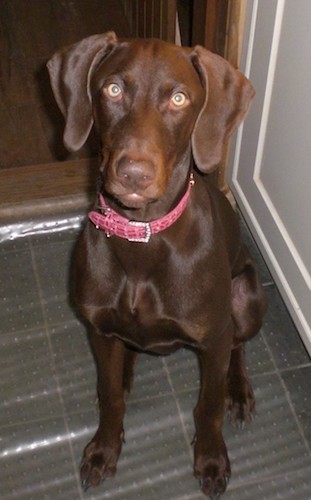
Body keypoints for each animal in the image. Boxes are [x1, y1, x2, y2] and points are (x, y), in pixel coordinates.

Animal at [48, 33, 268, 498]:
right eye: (113, 89)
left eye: (179, 98)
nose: (134, 174)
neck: (141, 237)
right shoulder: (97, 327)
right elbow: (110, 395)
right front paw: (103, 449)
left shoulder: (213, 335)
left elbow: (208, 405)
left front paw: (210, 458)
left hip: (249, 300)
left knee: (238, 347)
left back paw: (239, 392)